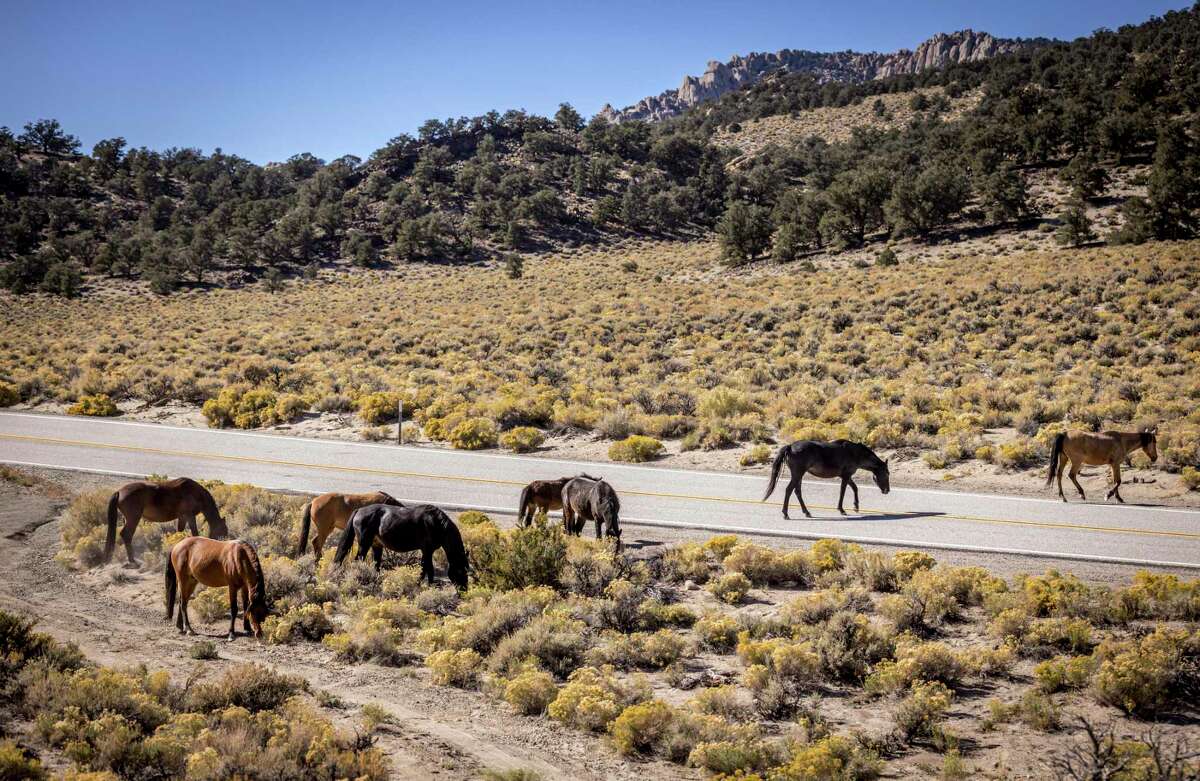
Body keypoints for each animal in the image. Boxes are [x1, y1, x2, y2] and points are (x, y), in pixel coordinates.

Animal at [338, 503, 472, 590]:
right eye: (460, 570)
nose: (464, 589)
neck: (437, 524)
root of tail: (359, 510)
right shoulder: (427, 550)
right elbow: (428, 568)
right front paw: (427, 585)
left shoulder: (426, 551)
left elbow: (424, 568)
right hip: (364, 545)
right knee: (358, 561)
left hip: (376, 545)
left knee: (376, 565)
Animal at [758, 439, 892, 518]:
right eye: (887, 473)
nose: (887, 490)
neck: (856, 453)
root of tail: (790, 447)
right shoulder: (846, 475)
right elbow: (843, 491)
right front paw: (842, 509)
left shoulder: (846, 476)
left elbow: (855, 488)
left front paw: (856, 507)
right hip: (798, 474)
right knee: (789, 490)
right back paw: (786, 513)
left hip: (799, 475)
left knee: (797, 491)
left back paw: (806, 512)